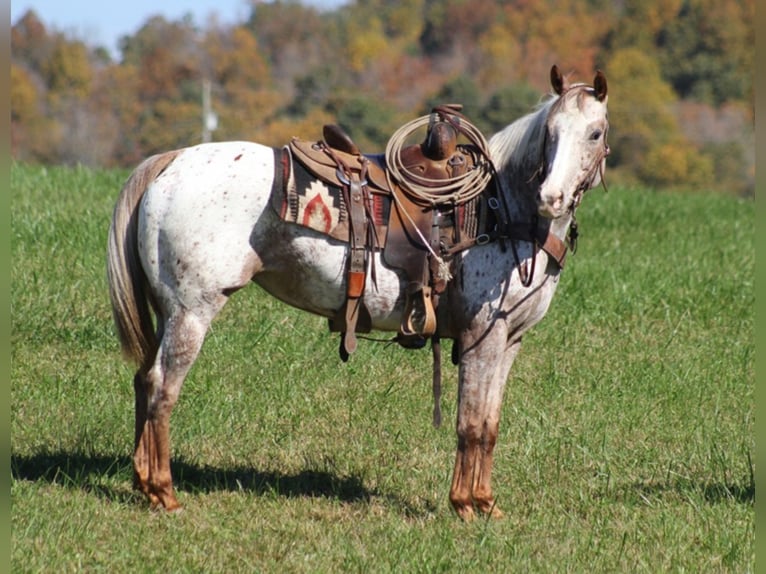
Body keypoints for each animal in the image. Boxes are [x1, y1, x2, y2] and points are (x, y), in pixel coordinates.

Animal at [108, 64, 612, 520]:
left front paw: (486, 504)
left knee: (143, 380)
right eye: (551, 133)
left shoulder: (509, 340)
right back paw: (164, 492)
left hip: (168, 313)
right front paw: (465, 506)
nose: (551, 198)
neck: (501, 209)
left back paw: (142, 482)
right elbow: (469, 423)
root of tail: (174, 160)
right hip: (191, 313)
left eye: (595, 133)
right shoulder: (481, 337)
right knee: (162, 387)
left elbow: (489, 423)